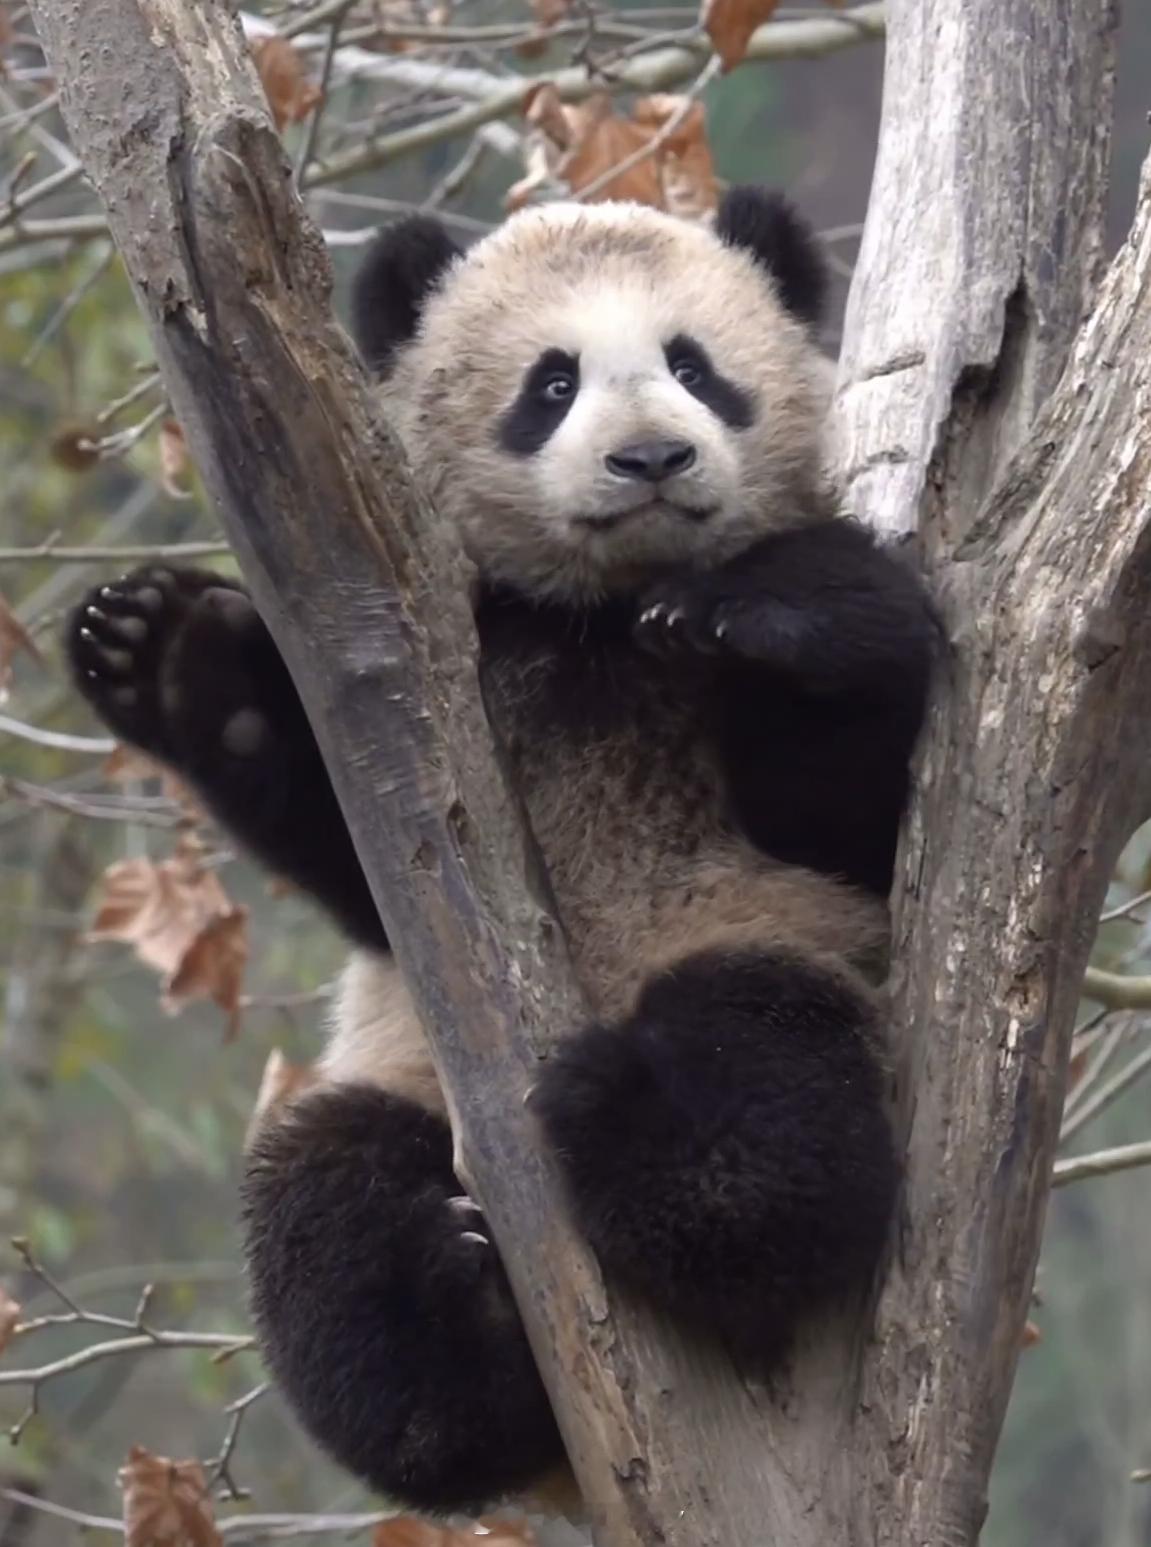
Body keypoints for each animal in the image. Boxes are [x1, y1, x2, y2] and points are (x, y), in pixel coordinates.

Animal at [65, 187, 934, 1516]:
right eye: (552, 383)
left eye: (693, 365)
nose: (651, 459)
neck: (603, 614)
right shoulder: (444, 682)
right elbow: (354, 867)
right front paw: (169, 653)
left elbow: (844, 807)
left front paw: (773, 613)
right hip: (398, 1074)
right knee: (328, 1214)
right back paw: (456, 1318)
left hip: (780, 949)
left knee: (771, 1094)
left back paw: (619, 1106)